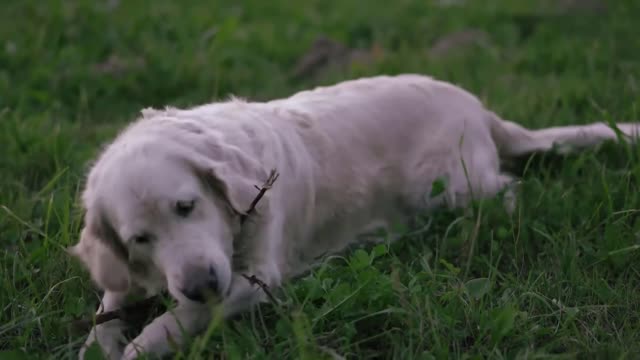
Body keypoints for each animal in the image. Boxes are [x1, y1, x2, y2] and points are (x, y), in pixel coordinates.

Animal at [70, 74, 640, 358]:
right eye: (140, 238)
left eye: (187, 206)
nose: (202, 284)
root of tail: (478, 107)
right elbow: (108, 304)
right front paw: (101, 343)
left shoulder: (255, 280)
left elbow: (176, 319)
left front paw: (138, 346)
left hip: (451, 187)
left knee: (507, 190)